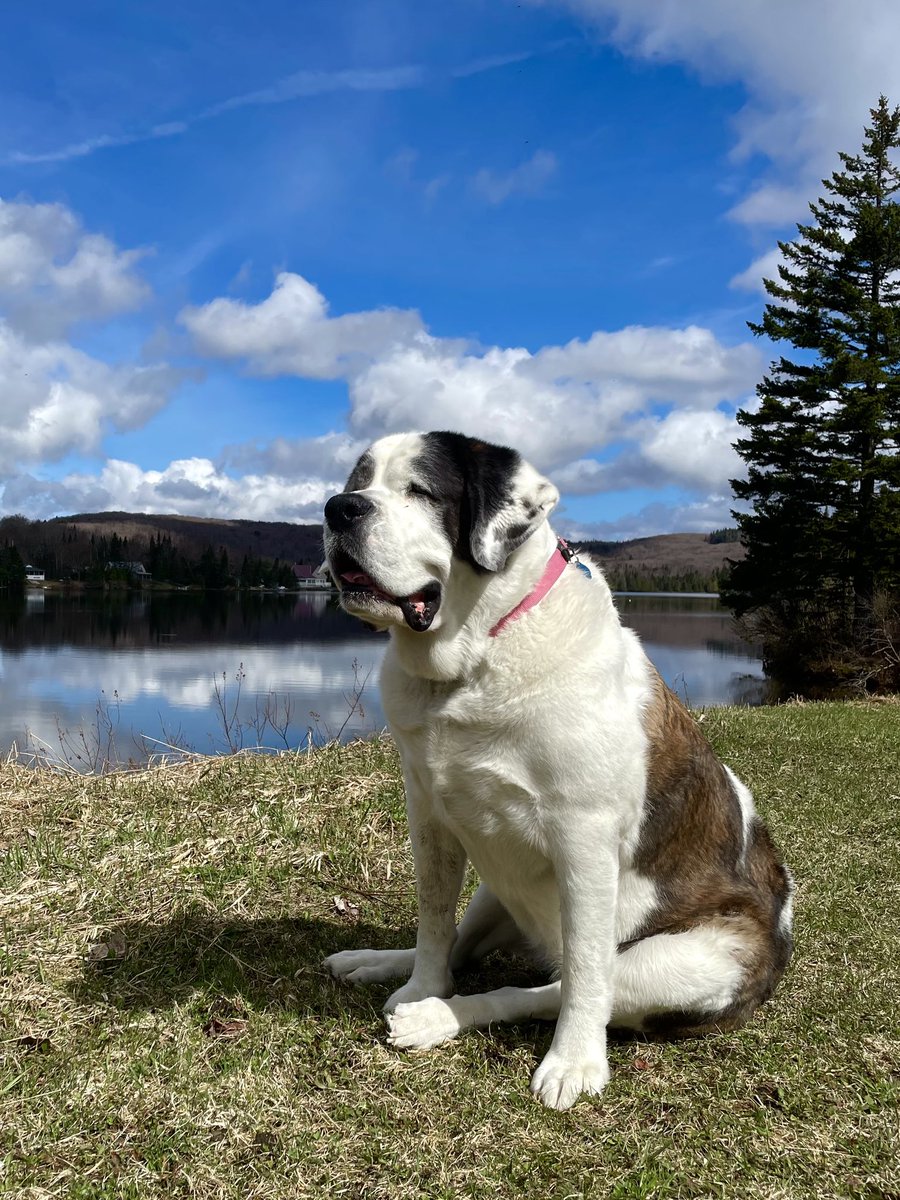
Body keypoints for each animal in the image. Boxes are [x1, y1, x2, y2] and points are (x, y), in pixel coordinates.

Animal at [324, 429, 796, 1104]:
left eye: (420, 491)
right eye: (358, 482)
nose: (340, 507)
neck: (481, 650)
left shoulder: (584, 837)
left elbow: (582, 976)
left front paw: (574, 1063)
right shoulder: (429, 811)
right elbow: (435, 921)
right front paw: (417, 983)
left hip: (693, 961)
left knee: (555, 986)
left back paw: (439, 1019)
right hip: (495, 889)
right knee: (469, 946)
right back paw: (385, 968)